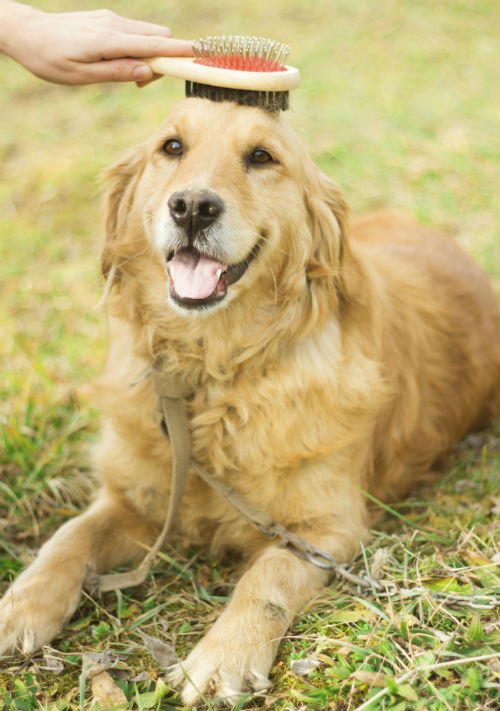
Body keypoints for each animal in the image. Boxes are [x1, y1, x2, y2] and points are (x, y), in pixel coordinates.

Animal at [0, 97, 500, 704]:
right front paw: (19, 607)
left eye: (262, 157)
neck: (212, 371)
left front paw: (224, 656)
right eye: (171, 147)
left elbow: (267, 579)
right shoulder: (133, 498)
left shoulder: (324, 529)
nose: (193, 207)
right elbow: (68, 538)